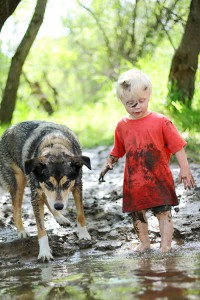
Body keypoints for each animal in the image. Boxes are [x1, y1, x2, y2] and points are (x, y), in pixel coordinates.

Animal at [0, 119, 92, 260]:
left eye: (66, 183)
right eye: (49, 183)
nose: (59, 206)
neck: (55, 148)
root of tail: (9, 129)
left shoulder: (77, 186)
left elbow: (80, 212)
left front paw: (83, 233)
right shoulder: (36, 194)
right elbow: (40, 227)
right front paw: (44, 252)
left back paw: (60, 217)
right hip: (19, 182)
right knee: (16, 209)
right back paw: (21, 231)